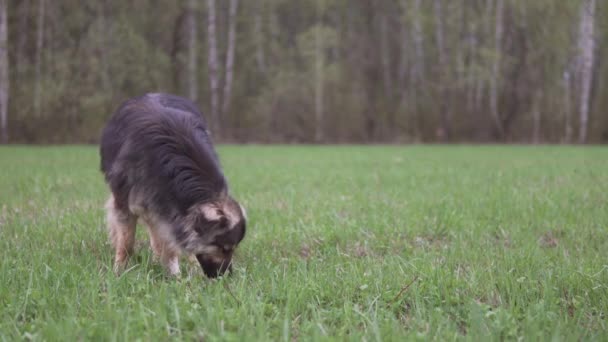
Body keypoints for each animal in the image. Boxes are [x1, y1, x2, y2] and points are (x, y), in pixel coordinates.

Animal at [100, 93, 245, 278]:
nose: (226, 276)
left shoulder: (165, 208)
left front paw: (177, 272)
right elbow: (126, 241)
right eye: (223, 248)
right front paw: (119, 271)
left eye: (232, 249)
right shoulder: (128, 200)